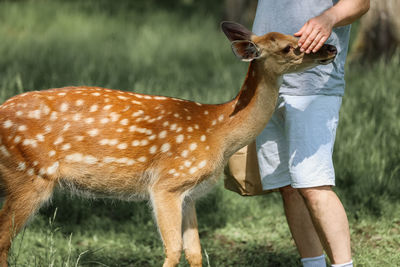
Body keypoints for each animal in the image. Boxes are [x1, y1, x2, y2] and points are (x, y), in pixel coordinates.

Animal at [0, 22, 338, 267]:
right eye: (290, 47)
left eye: (296, 34)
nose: (332, 47)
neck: (219, 132)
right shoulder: (166, 184)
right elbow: (173, 250)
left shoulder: (189, 194)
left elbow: (194, 252)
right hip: (27, 175)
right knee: (4, 239)